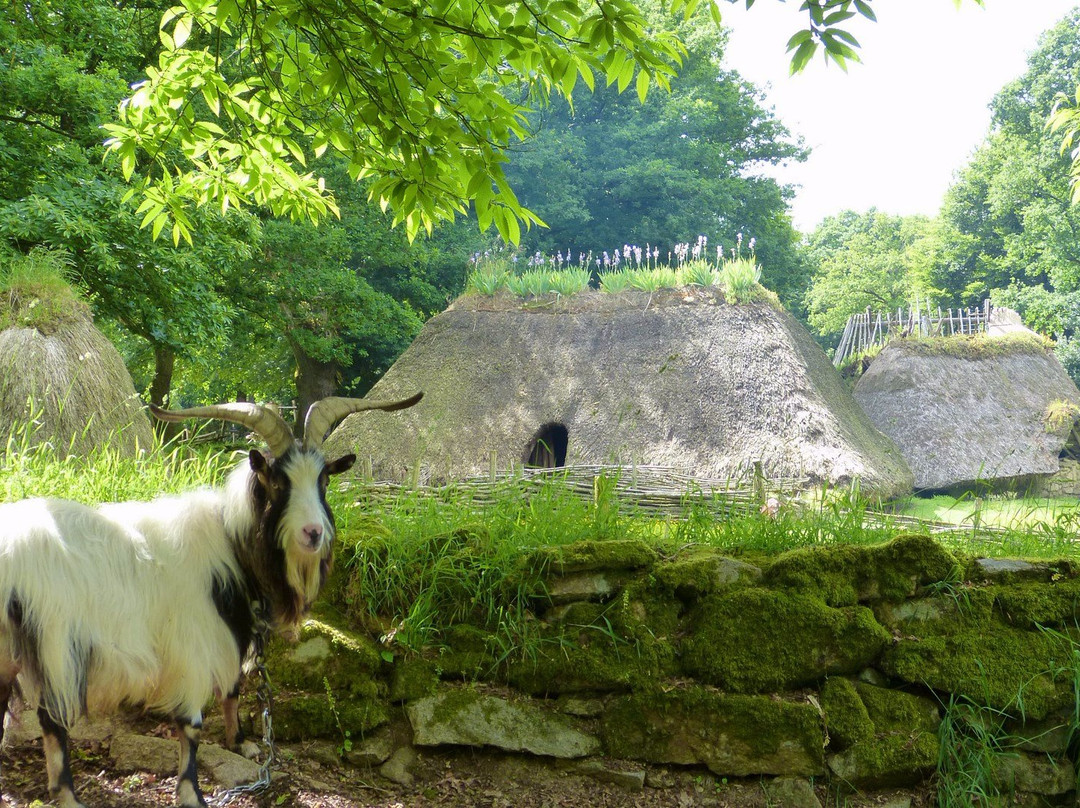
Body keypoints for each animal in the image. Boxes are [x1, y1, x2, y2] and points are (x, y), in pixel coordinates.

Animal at [0, 393, 421, 808]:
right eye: (277, 482)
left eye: (324, 479)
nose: (313, 533)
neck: (230, 540)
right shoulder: (192, 643)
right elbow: (192, 723)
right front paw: (192, 793)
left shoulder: (234, 629)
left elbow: (233, 687)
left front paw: (241, 743)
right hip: (57, 643)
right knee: (52, 720)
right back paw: (68, 795)